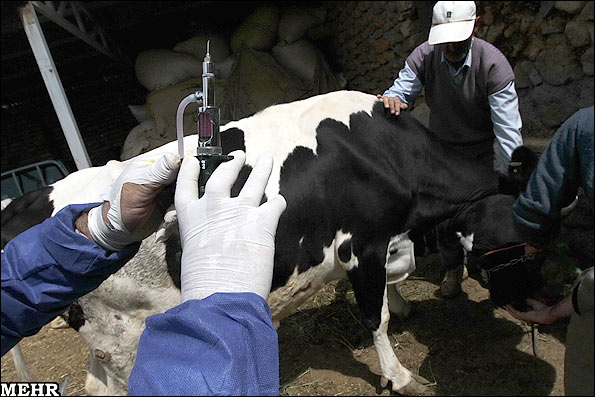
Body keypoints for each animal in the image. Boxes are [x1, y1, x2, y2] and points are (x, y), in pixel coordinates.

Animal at [0, 90, 540, 392]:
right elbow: (374, 316)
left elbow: (392, 285)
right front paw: (400, 375)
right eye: (504, 252)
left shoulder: (386, 240)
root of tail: (29, 199)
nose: (530, 312)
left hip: (106, 340)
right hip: (122, 338)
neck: (383, 152)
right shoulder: (361, 242)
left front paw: (405, 305)